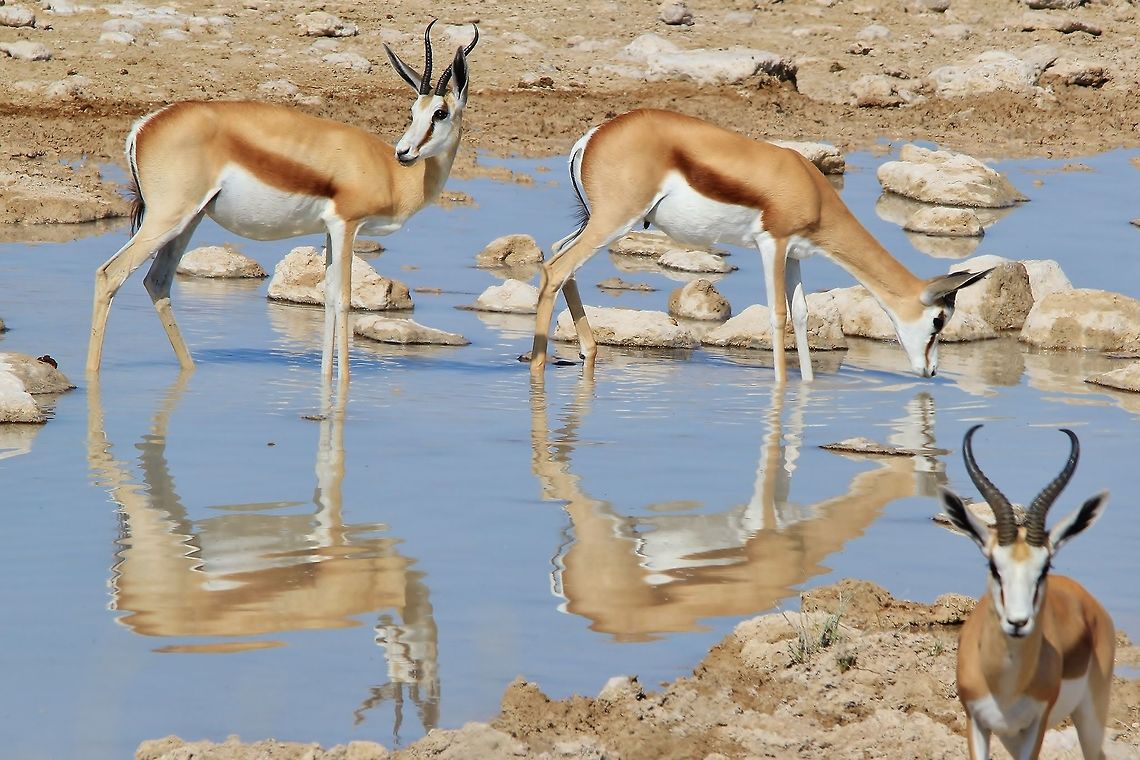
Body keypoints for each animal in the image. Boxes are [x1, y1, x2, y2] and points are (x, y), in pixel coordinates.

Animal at [86, 21, 479, 393]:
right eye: (414, 112)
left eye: (439, 113)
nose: (404, 152)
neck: (391, 176)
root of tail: (144, 125)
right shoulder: (347, 224)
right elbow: (344, 299)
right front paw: (345, 387)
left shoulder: (330, 231)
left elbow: (328, 296)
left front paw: (326, 384)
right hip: (167, 219)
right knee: (110, 273)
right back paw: (92, 377)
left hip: (189, 220)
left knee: (157, 282)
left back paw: (189, 370)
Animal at [526, 109, 992, 382]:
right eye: (938, 321)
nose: (930, 371)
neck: (810, 190)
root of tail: (593, 136)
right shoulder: (773, 244)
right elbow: (778, 316)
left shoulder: (797, 254)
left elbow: (802, 316)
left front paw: (806, 388)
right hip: (615, 220)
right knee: (556, 268)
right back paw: (537, 367)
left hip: (598, 221)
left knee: (560, 258)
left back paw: (588, 353)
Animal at [940, 425, 1114, 760]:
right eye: (994, 566)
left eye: (1045, 567)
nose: (1018, 622)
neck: (1005, 685)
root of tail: (1086, 599)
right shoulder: (976, 721)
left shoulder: (1035, 726)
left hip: (1089, 718)